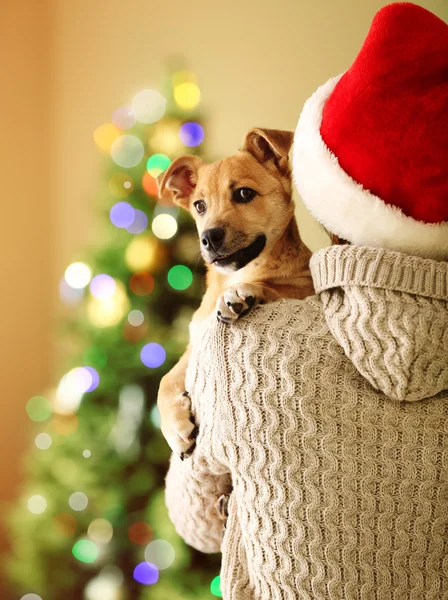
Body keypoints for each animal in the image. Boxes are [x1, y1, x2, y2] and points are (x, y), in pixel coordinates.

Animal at [156, 126, 314, 454]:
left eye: (244, 194)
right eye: (199, 206)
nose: (208, 237)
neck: (233, 276)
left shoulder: (307, 288)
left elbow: (275, 287)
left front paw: (242, 294)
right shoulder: (196, 342)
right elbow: (166, 378)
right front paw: (174, 426)